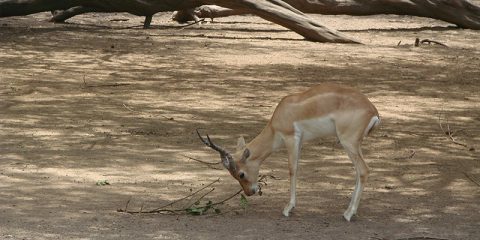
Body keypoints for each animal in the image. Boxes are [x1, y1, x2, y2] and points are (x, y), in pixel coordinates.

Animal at [197, 83, 380, 220]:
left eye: (241, 174)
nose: (250, 192)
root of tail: (373, 111)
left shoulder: (291, 138)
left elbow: (292, 170)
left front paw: (287, 208)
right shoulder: (300, 142)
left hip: (348, 142)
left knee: (364, 170)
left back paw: (348, 214)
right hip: (354, 145)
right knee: (358, 172)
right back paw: (349, 211)